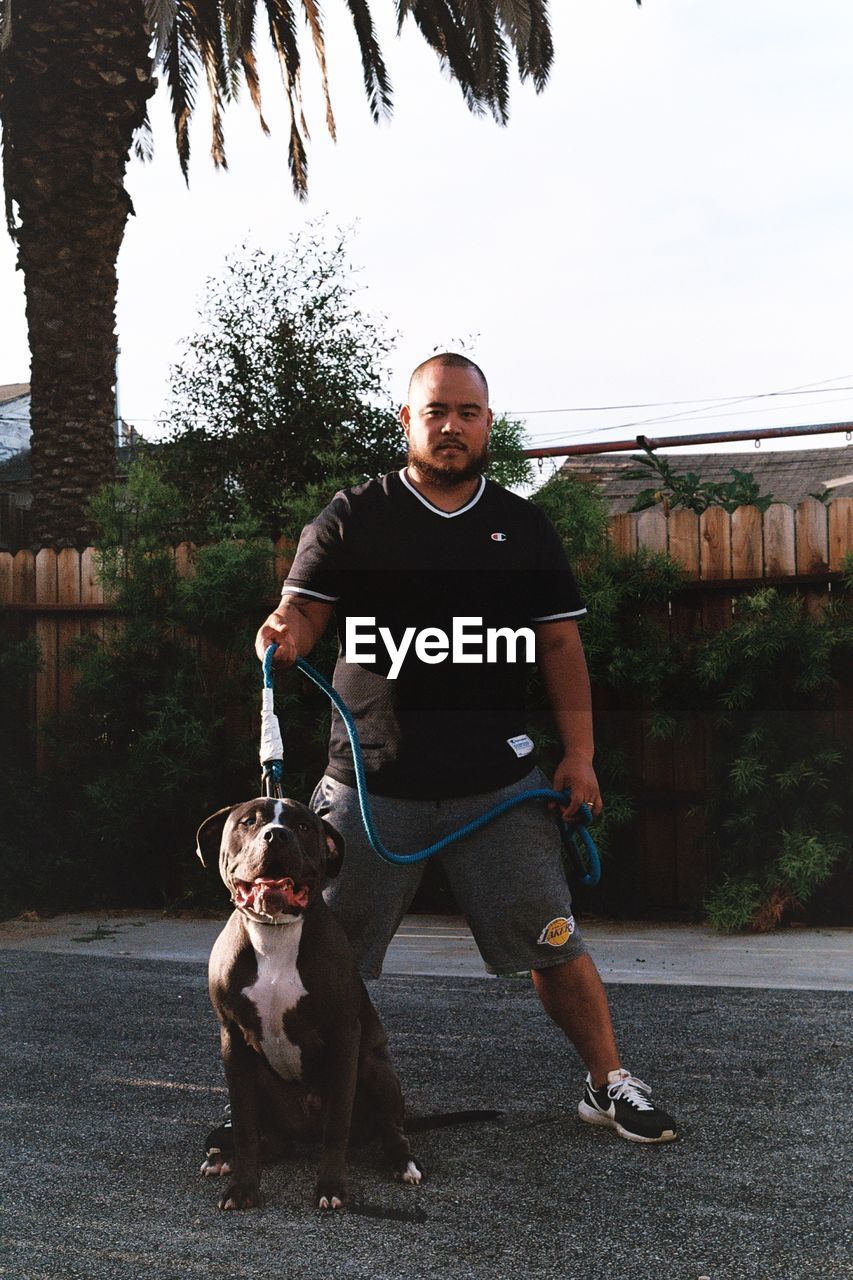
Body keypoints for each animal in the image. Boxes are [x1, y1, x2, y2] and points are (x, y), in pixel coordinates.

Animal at [192, 798, 417, 1208]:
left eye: (303, 827)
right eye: (248, 822)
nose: (276, 835)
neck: (274, 933)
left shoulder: (344, 1035)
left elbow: (337, 1124)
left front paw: (331, 1187)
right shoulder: (233, 1040)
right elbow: (245, 1128)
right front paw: (243, 1187)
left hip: (375, 1066)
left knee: (391, 1126)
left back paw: (402, 1161)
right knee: (270, 1140)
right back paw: (224, 1157)